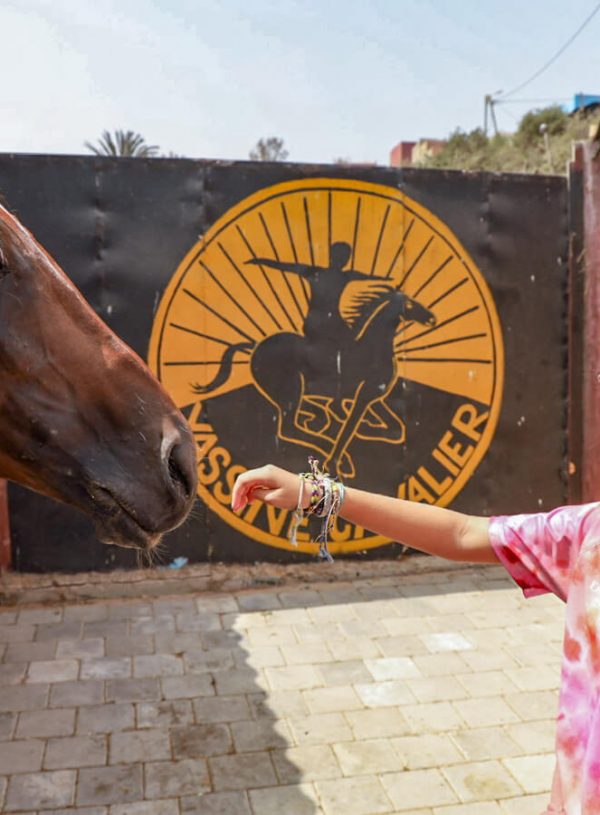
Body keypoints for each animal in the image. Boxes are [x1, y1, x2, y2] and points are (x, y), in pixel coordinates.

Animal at [194, 285, 435, 479]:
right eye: (410, 303)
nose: (432, 318)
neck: (373, 349)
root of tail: (254, 348)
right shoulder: (364, 396)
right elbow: (350, 427)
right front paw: (337, 460)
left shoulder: (374, 398)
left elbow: (394, 430)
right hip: (291, 389)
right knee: (289, 428)